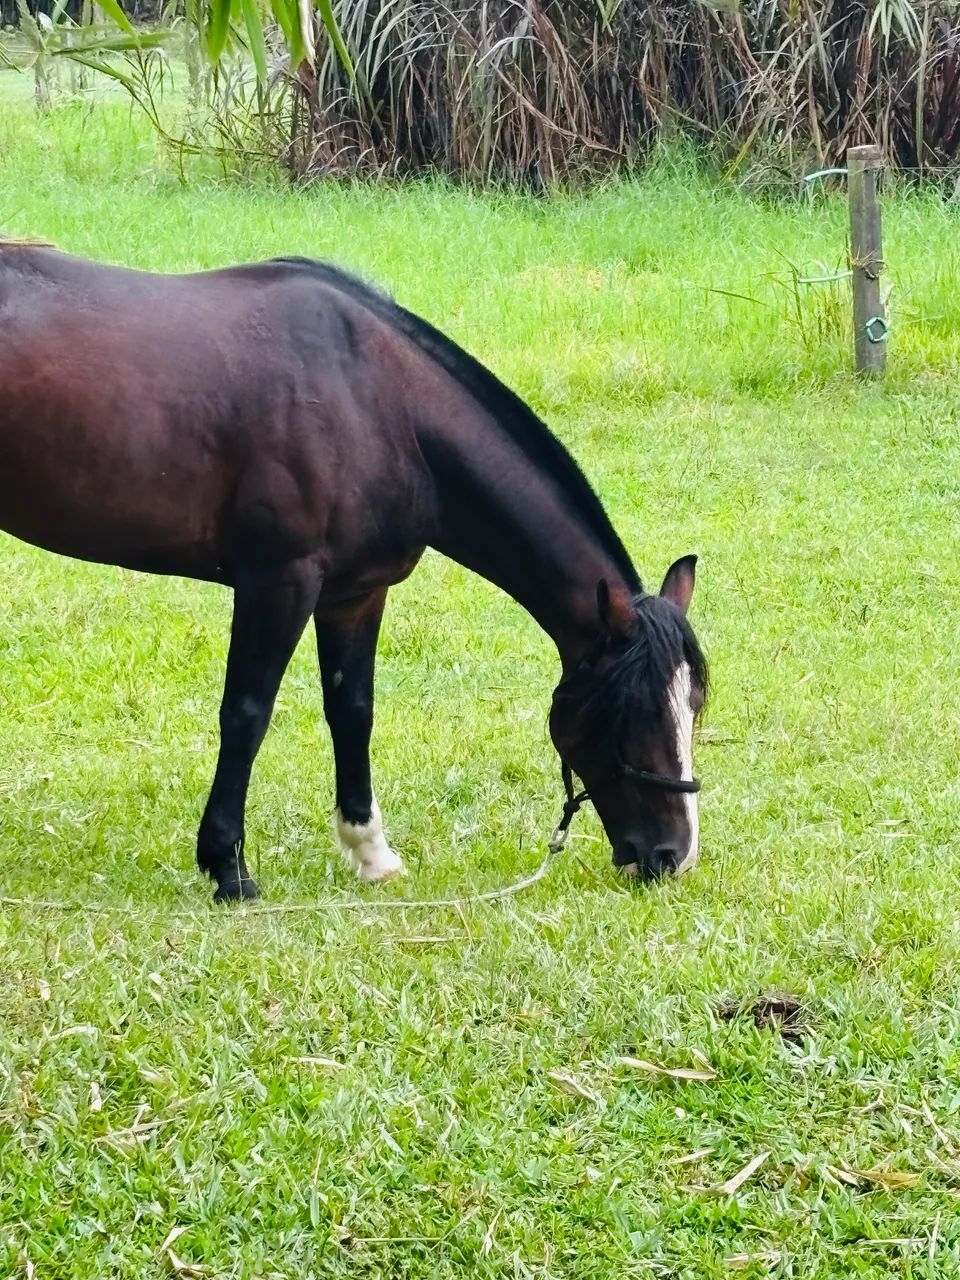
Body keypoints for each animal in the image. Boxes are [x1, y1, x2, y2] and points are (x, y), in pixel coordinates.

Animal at [0, 241, 707, 901]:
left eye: (692, 705)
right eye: (639, 710)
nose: (672, 856)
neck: (378, 402)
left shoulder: (355, 594)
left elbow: (353, 710)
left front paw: (370, 853)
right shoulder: (279, 582)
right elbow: (247, 714)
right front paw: (228, 867)